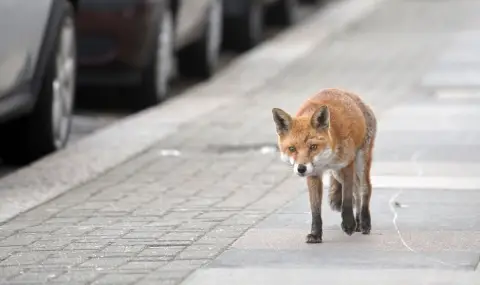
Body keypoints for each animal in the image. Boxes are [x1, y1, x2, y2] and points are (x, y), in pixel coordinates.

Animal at [272, 87, 376, 243]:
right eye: (292, 149)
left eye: (313, 147)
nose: (301, 169)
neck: (326, 160)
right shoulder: (314, 174)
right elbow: (315, 209)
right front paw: (315, 234)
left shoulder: (347, 164)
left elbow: (346, 199)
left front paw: (348, 224)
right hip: (337, 174)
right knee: (356, 191)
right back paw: (358, 222)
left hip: (359, 162)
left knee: (364, 188)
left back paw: (364, 222)